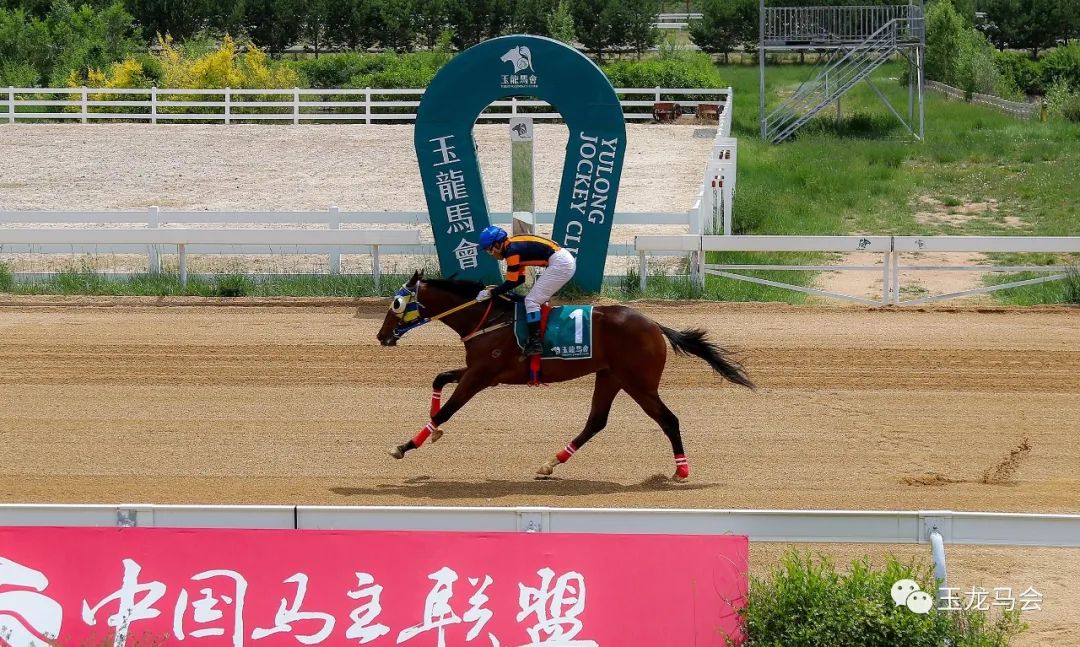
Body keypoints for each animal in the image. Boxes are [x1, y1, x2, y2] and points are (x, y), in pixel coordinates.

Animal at [375, 270, 756, 481]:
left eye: (396, 304)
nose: (381, 336)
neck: (488, 318)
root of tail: (654, 324)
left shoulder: (482, 376)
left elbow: (447, 411)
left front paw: (406, 445)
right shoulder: (478, 370)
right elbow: (439, 378)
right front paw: (430, 434)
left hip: (639, 382)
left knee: (668, 419)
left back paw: (681, 470)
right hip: (611, 376)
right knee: (596, 422)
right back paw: (551, 463)